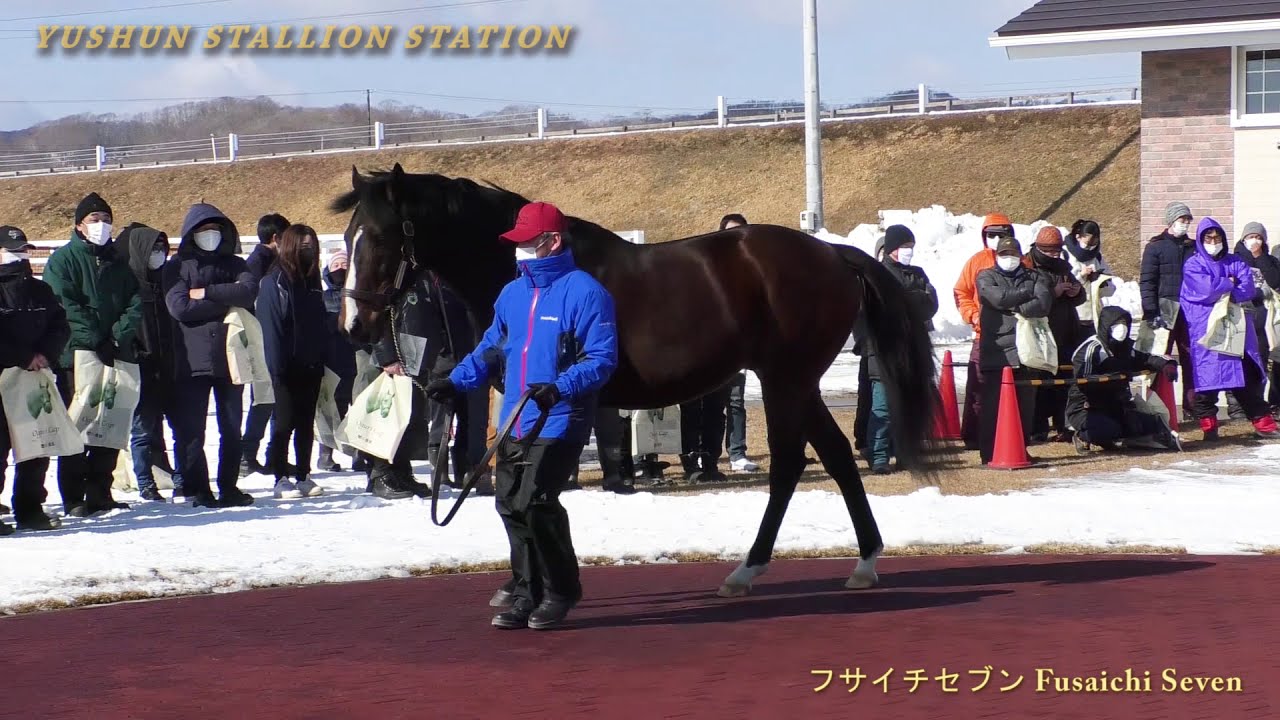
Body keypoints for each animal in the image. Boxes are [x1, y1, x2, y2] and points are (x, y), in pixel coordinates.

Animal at [332, 163, 942, 597]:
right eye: (348, 236)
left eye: (381, 237)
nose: (355, 326)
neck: (534, 278)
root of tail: (832, 253)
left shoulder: (549, 400)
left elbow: (533, 482)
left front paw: (537, 586)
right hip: (797, 382)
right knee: (836, 455)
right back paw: (863, 562)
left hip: (785, 380)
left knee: (793, 465)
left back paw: (749, 570)